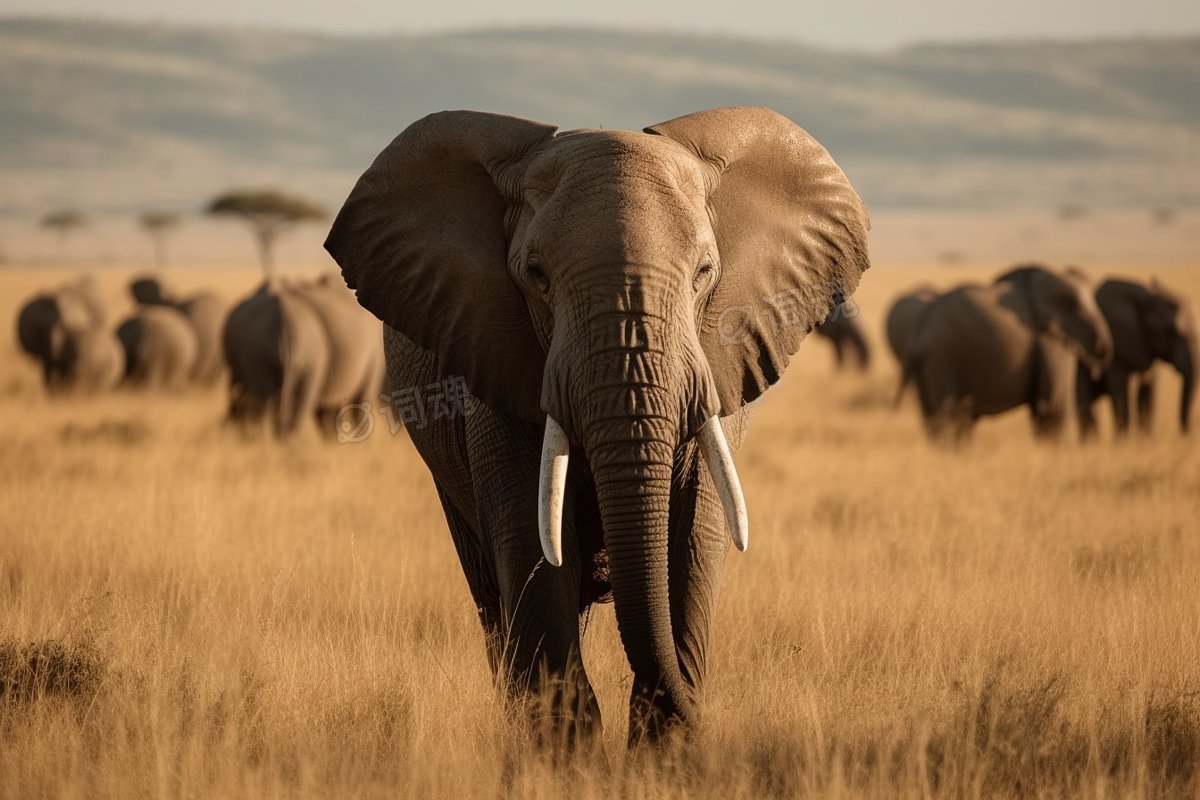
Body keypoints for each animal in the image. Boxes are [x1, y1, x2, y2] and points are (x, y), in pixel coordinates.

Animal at [326, 104, 873, 743]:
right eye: (536, 274)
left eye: (704, 273)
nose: (704, 724)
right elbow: (532, 545)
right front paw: (566, 754)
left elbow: (694, 537)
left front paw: (664, 748)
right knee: (493, 603)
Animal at [902, 266, 1113, 441]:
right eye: (1083, 310)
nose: (1103, 351)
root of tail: (921, 330)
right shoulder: (1048, 338)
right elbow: (1052, 405)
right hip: (942, 357)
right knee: (948, 416)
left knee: (937, 417)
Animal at [1080, 277, 1200, 438]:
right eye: (1170, 332)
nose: (1185, 436)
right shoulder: (1117, 343)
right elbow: (1121, 391)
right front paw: (1124, 441)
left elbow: (1148, 393)